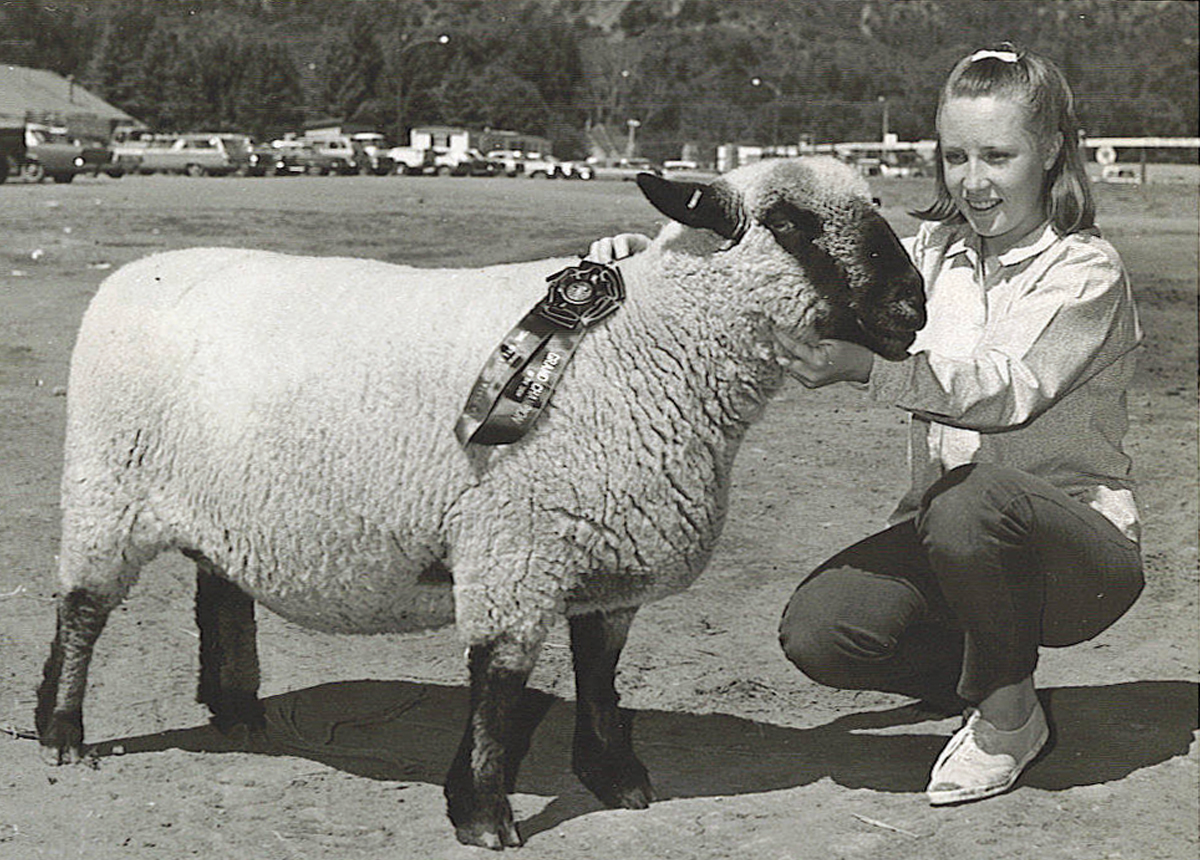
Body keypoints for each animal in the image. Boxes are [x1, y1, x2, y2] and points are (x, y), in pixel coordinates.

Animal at [35, 157, 916, 849]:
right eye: (791, 223)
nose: (914, 307)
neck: (645, 345)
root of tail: (134, 272)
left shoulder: (606, 545)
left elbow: (600, 672)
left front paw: (615, 778)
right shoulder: (515, 547)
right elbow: (500, 682)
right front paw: (483, 812)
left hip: (223, 501)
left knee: (219, 593)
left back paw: (237, 710)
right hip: (107, 488)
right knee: (82, 611)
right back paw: (63, 731)